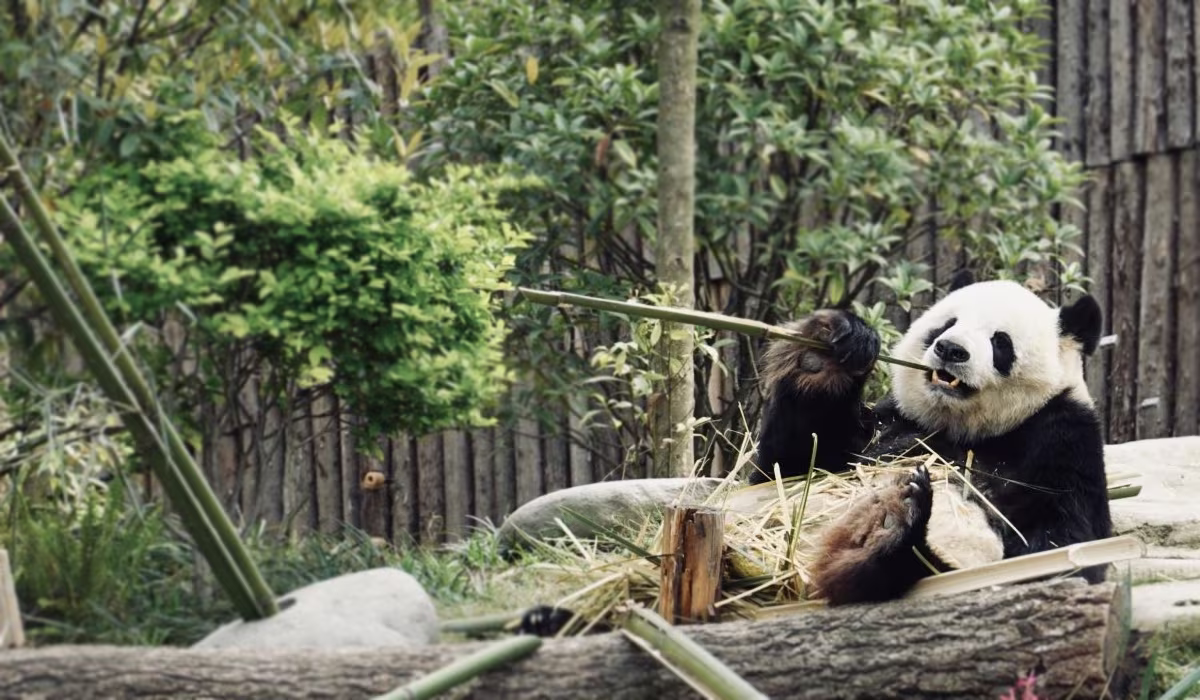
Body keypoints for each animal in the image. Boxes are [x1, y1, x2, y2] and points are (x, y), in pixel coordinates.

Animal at [753, 272, 1112, 606]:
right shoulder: (894, 420)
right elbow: (794, 466)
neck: (964, 427)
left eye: (1000, 342)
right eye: (947, 324)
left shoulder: (1062, 438)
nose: (950, 349)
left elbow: (1065, 541)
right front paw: (828, 351)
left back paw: (893, 531)